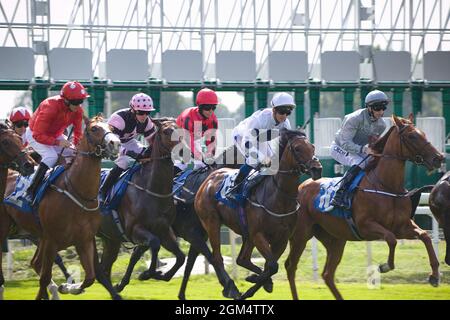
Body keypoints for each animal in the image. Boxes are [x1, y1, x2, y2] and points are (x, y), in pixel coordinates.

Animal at [0, 115, 121, 300]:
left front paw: (68, 287)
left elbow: (91, 277)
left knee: (36, 263)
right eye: (94, 129)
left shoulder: (84, 240)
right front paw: (65, 286)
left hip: (37, 235)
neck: (78, 192)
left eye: (112, 129)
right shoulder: (52, 240)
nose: (115, 143)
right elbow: (44, 278)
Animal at [97, 118, 187, 292]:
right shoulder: (135, 229)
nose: (183, 150)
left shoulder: (163, 230)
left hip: (110, 238)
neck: (152, 189)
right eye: (166, 131)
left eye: (179, 129)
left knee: (105, 267)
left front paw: (160, 275)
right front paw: (148, 273)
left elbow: (180, 257)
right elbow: (154, 245)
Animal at [195, 128, 322, 300]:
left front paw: (260, 281)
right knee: (217, 257)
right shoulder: (258, 234)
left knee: (242, 259)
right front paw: (252, 284)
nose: (317, 169)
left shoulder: (281, 239)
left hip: (246, 234)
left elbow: (270, 266)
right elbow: (272, 266)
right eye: (297, 148)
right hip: (212, 222)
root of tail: (209, 179)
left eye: (313, 147)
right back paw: (231, 288)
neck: (278, 196)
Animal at [286, 115, 444, 300]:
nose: (439, 158)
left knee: (327, 274)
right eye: (412, 136)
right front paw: (385, 266)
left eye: (423, 133)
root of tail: (301, 186)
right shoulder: (366, 226)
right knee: (291, 266)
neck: (386, 186)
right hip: (301, 235)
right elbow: (391, 239)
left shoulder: (402, 226)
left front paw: (434, 275)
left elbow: (425, 236)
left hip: (335, 239)